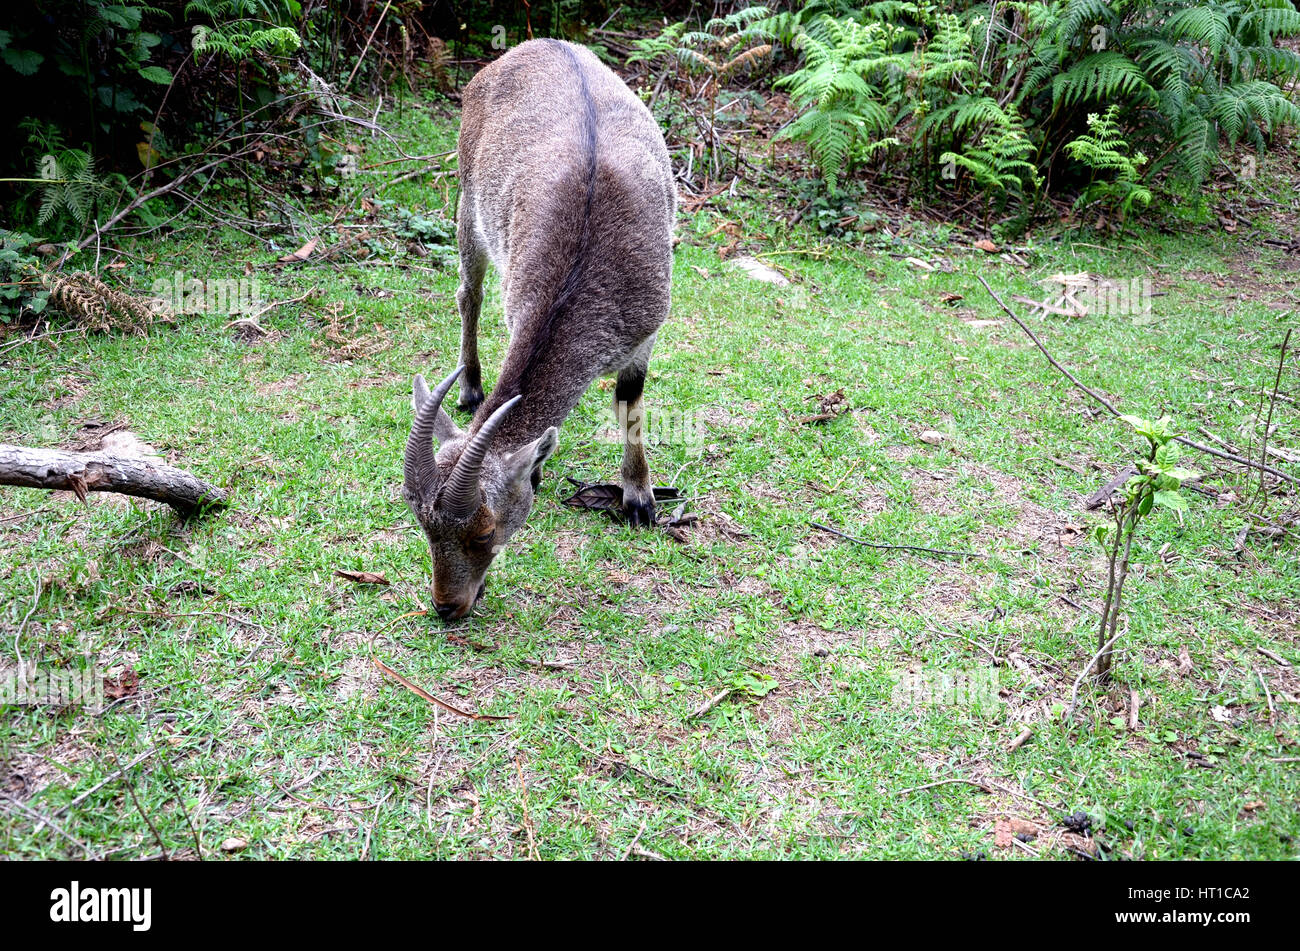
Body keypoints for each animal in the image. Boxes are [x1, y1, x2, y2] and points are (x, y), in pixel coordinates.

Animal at [400, 40, 676, 621]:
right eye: (423, 526)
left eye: (485, 533)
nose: (447, 606)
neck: (584, 262)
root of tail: (539, 45)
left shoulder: (647, 330)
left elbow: (631, 400)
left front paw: (638, 498)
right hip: (468, 201)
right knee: (469, 295)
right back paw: (470, 385)